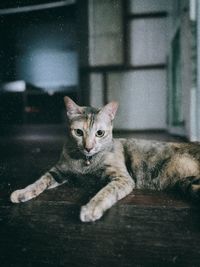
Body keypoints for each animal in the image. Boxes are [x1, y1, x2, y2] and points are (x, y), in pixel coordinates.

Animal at [10, 97, 200, 223]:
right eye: (78, 132)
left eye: (100, 133)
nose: (88, 147)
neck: (86, 162)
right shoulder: (59, 171)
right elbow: (40, 181)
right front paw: (22, 192)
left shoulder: (122, 178)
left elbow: (105, 192)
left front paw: (91, 209)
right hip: (190, 184)